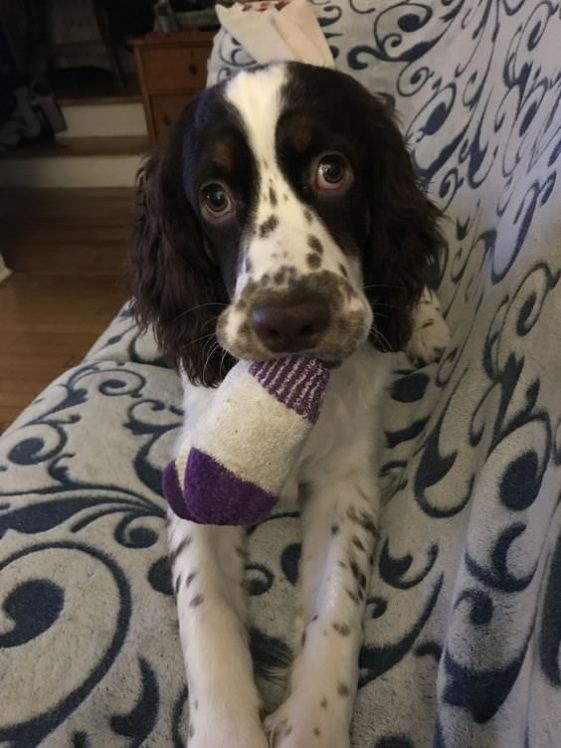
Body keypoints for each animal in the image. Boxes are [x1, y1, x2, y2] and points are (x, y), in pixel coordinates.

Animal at [128, 62, 450, 748]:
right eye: (214, 197)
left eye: (333, 169)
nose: (291, 321)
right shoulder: (196, 480)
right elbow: (205, 612)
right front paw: (227, 730)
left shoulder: (346, 480)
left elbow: (336, 608)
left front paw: (311, 725)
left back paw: (425, 327)